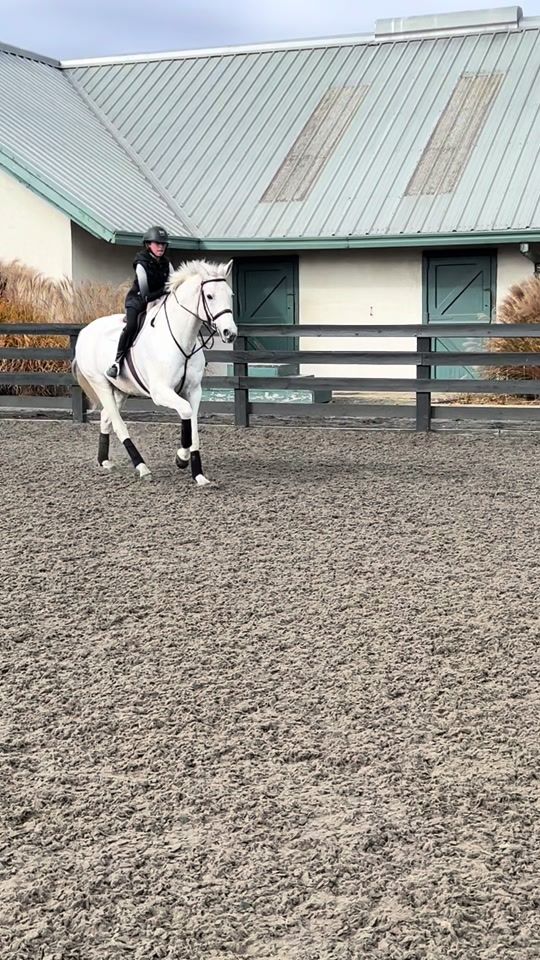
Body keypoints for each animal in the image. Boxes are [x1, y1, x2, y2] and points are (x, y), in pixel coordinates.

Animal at [73, 259, 236, 484]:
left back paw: (104, 461)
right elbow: (186, 412)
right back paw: (141, 467)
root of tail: (84, 332)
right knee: (118, 423)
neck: (181, 339)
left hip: (121, 391)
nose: (230, 333)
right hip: (101, 385)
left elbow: (193, 428)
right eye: (210, 296)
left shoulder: (194, 391)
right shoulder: (161, 392)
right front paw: (182, 458)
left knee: (106, 417)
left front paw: (197, 473)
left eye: (230, 294)